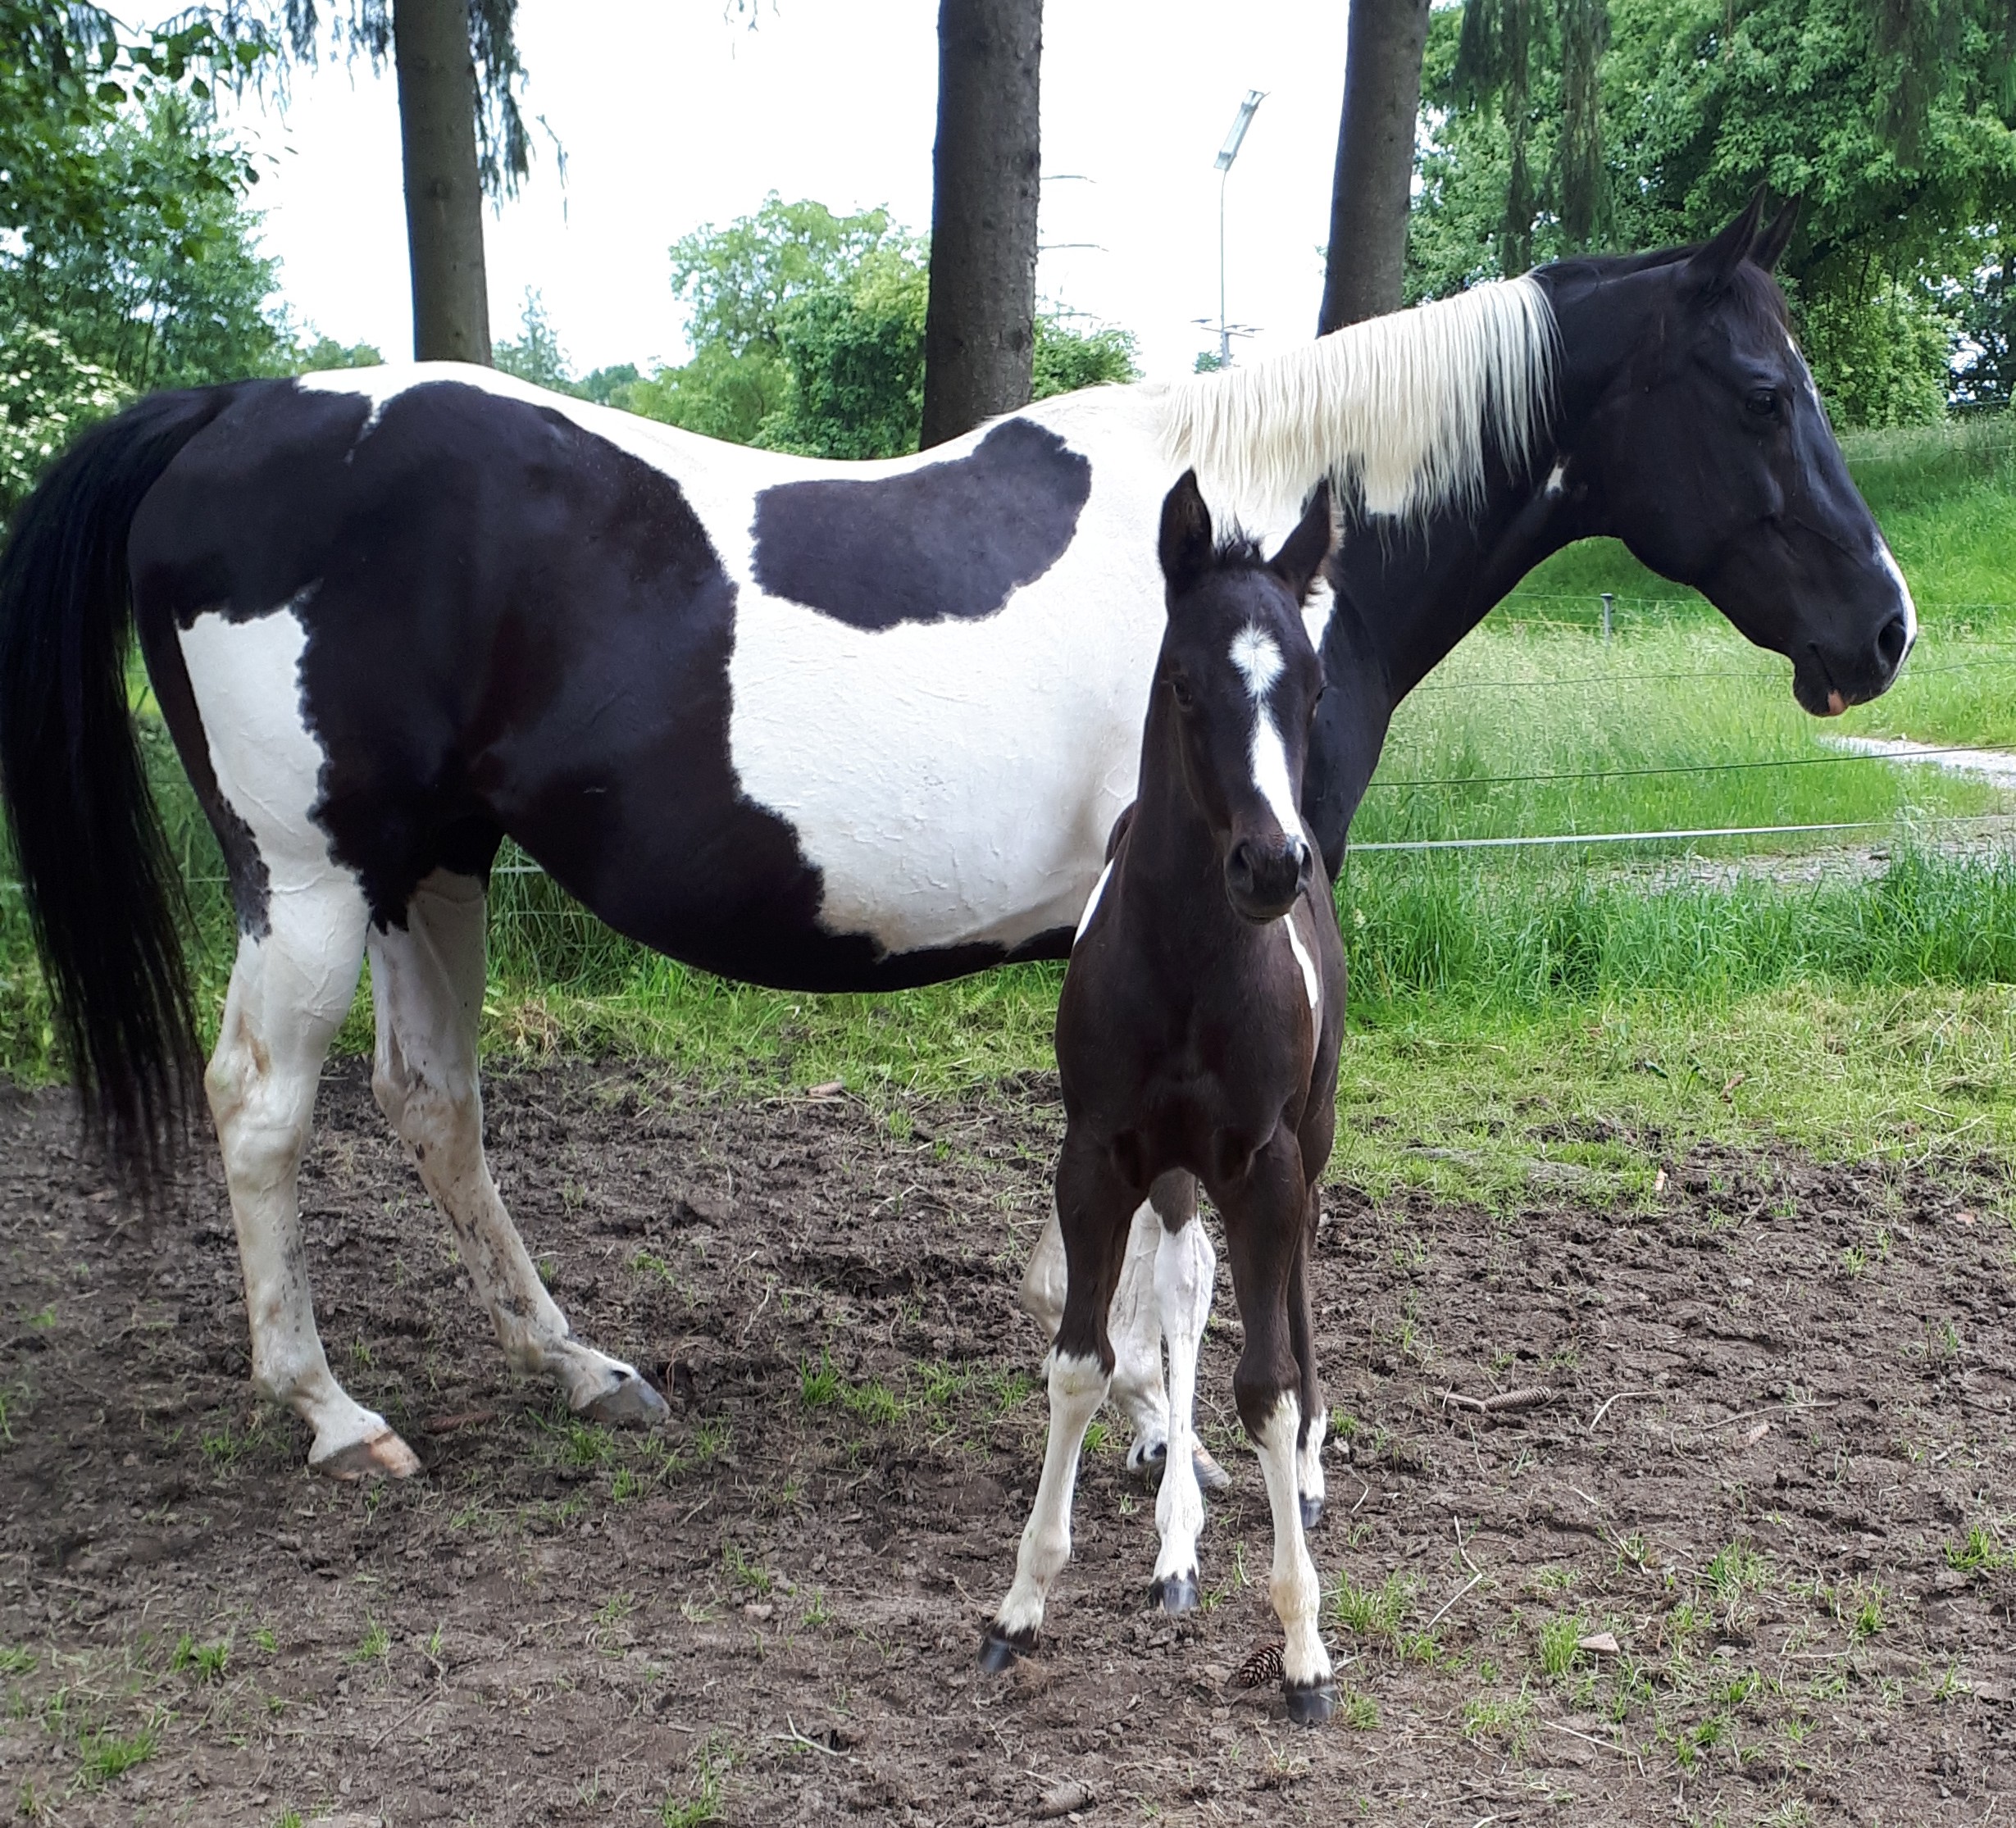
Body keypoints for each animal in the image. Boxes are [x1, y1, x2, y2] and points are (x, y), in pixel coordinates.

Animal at [980, 471, 1347, 1723]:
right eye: (1184, 680)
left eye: (1314, 684)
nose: (1271, 865)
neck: (1192, 961)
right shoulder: (1097, 1157)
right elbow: (1080, 1360)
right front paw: (1021, 1603)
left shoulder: (1265, 1161)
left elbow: (1265, 1381)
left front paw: (1301, 1647)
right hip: (1180, 1174)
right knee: (1182, 1295)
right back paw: (1173, 1536)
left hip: (1305, 1140)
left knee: (1291, 1282)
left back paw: (1301, 1472)